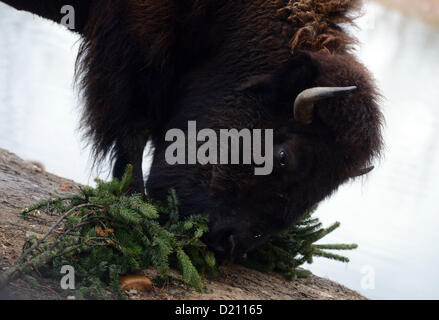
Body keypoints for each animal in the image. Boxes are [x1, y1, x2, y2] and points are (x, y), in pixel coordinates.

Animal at [1, 0, 382, 258]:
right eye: (284, 155)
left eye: (324, 191)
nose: (228, 243)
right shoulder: (133, 49)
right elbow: (134, 128)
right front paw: (133, 200)